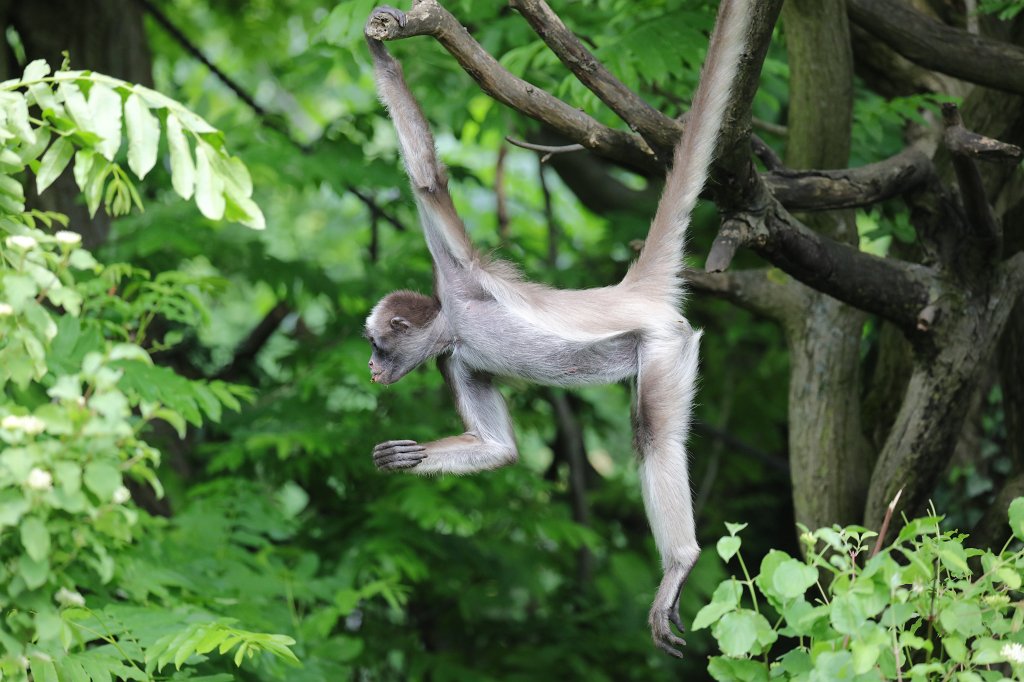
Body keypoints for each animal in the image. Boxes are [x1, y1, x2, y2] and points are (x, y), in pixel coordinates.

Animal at [363, 0, 750, 657]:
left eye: (375, 343)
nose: (369, 366)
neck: (455, 324)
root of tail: (630, 291)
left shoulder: (459, 277)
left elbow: (426, 178)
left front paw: (384, 51)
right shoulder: (455, 359)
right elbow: (498, 449)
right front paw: (403, 457)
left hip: (666, 346)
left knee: (654, 434)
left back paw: (680, 561)